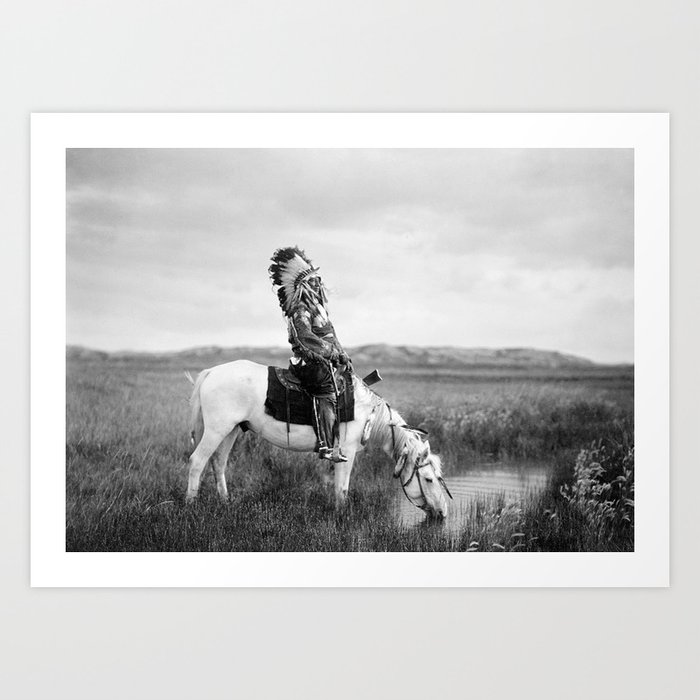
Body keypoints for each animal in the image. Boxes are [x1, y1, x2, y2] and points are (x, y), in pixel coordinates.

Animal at [183, 360, 452, 520]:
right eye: (428, 479)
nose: (443, 513)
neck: (368, 413)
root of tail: (211, 372)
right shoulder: (346, 452)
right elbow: (342, 488)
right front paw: (341, 517)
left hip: (230, 430)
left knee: (218, 463)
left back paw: (225, 502)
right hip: (217, 429)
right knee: (197, 462)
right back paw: (190, 505)